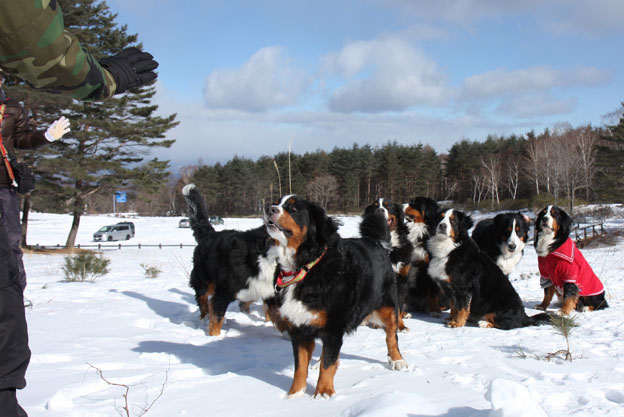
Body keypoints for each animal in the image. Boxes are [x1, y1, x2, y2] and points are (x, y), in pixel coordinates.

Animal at [182, 184, 276, 336]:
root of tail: (210, 234)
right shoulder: (224, 291)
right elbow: (217, 316)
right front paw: (214, 337)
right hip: (203, 280)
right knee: (203, 301)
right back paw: (203, 319)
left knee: (243, 303)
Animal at [264, 194, 408, 396]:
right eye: (277, 202)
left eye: (293, 209)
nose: (269, 209)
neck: (306, 265)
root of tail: (375, 241)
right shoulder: (299, 328)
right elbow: (300, 366)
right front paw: (295, 394)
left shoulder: (333, 327)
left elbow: (328, 364)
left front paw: (323, 392)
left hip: (387, 306)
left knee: (391, 335)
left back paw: (397, 360)